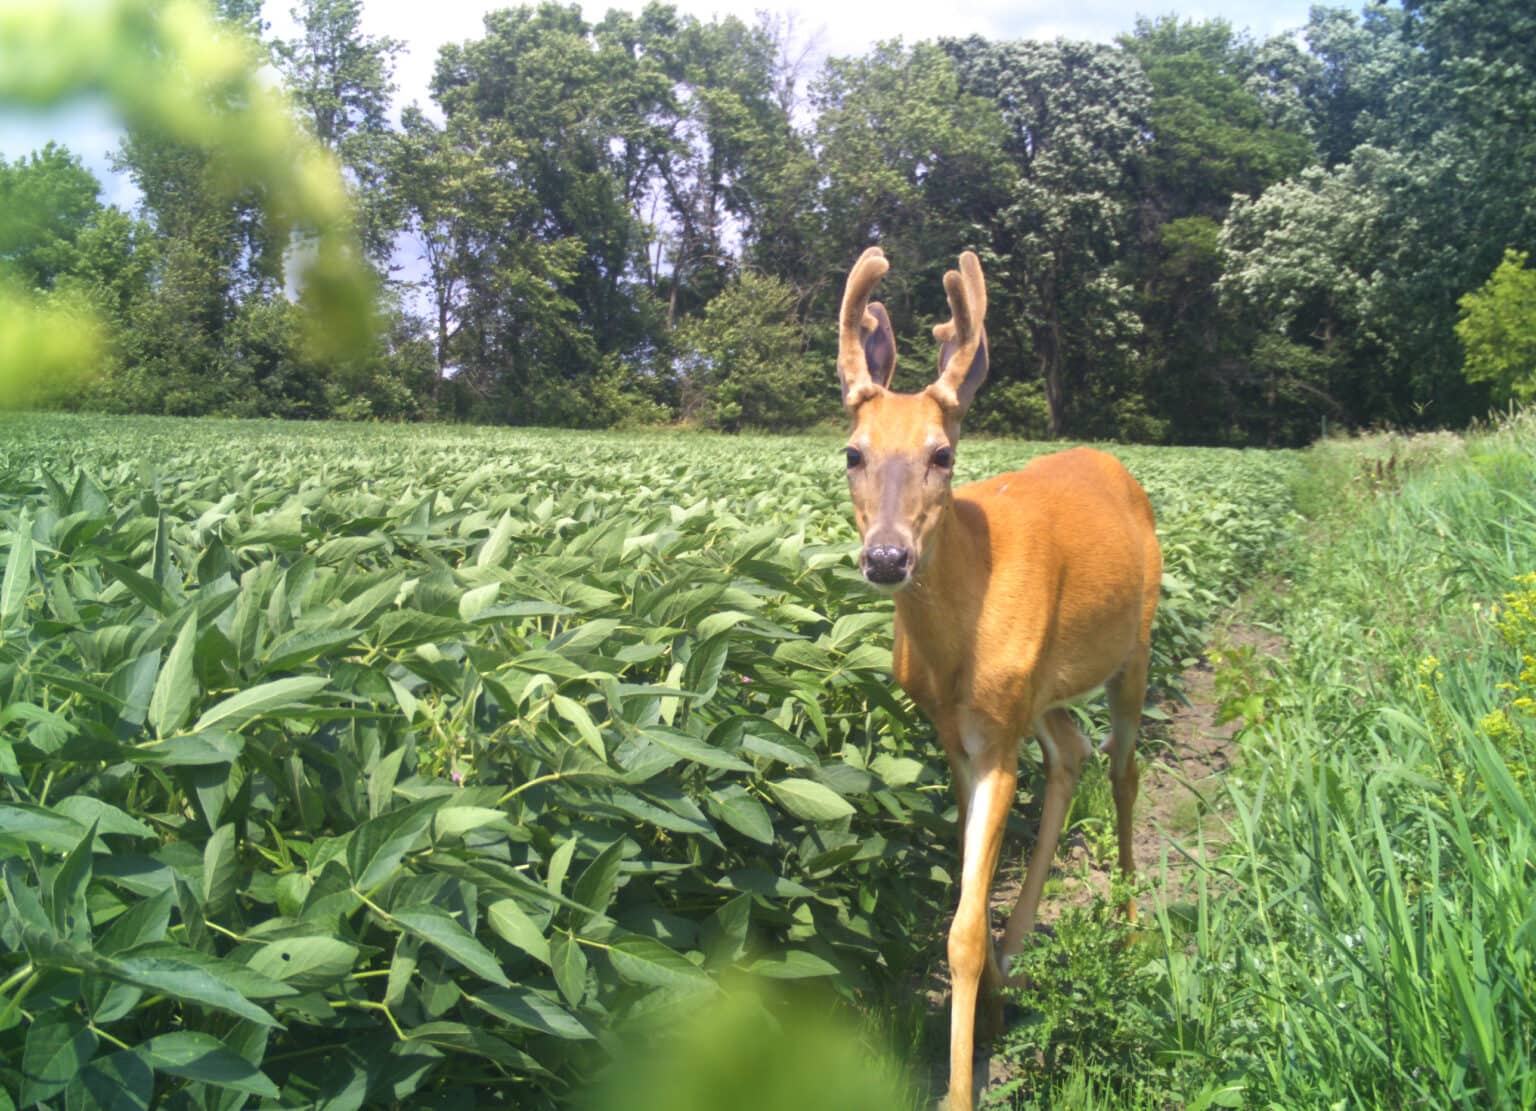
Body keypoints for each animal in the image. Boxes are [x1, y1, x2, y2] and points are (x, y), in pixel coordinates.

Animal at [835, 247, 1162, 1111]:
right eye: (853, 452)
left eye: (942, 454)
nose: (887, 557)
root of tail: (1110, 460)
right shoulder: (959, 728)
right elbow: (966, 895)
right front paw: (984, 1018)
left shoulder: (997, 736)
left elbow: (960, 930)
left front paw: (959, 1088)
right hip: (1042, 690)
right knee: (1073, 751)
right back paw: (1018, 957)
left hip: (1137, 643)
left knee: (1123, 768)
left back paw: (1127, 919)